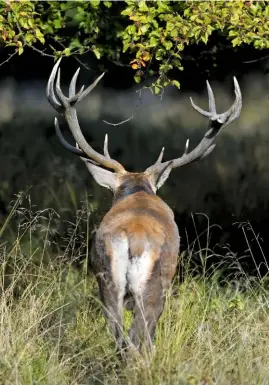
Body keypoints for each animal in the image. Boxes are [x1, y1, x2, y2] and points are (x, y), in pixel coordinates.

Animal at [46, 57, 241, 354]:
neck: (138, 191)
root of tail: (132, 240)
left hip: (105, 280)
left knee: (118, 332)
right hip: (153, 285)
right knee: (139, 333)